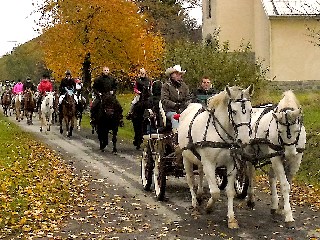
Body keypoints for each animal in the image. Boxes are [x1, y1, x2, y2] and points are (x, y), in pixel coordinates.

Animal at [179, 85, 254, 229]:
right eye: (234, 111)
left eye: (250, 111)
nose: (244, 140)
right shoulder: (209, 164)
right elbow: (215, 192)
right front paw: (209, 207)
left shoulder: (231, 164)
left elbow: (230, 191)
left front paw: (231, 218)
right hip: (186, 158)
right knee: (190, 179)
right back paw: (194, 203)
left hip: (199, 160)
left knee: (200, 173)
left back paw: (200, 195)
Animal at [246, 90, 306, 227]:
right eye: (280, 131)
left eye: (297, 130)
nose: (289, 154)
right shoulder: (276, 157)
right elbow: (284, 185)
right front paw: (288, 215)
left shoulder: (296, 160)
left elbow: (289, 184)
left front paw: (281, 208)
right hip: (251, 152)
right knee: (251, 173)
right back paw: (251, 199)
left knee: (271, 177)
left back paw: (274, 205)